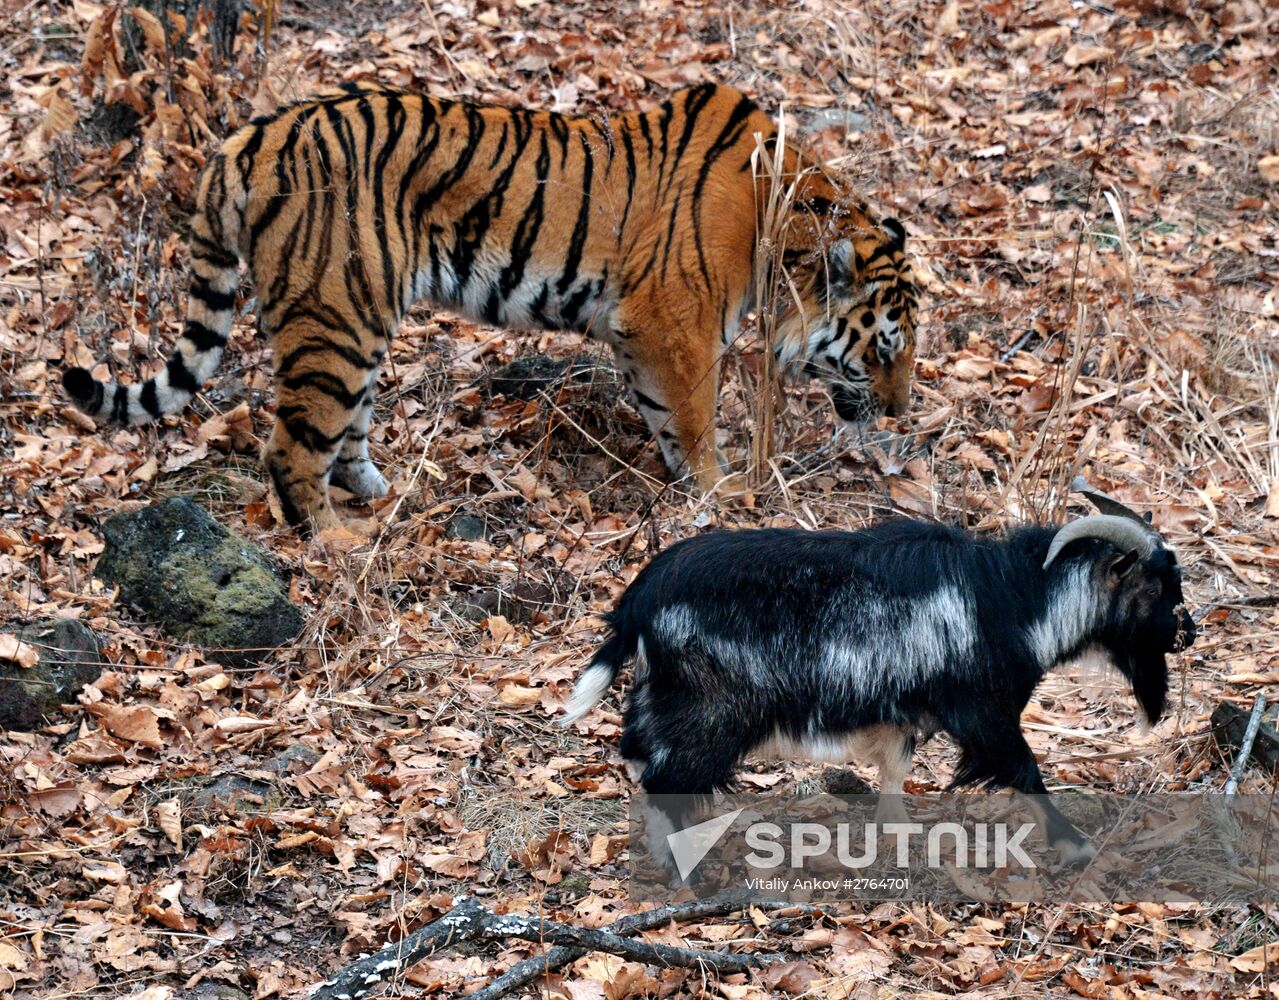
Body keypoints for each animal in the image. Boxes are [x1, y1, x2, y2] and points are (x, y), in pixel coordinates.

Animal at [64, 83, 915, 537]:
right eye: (884, 348)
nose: (898, 411)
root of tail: (245, 138)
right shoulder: (674, 319)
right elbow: (698, 415)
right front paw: (721, 490)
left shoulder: (638, 332)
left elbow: (665, 416)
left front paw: (686, 484)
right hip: (335, 314)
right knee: (292, 450)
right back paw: (337, 542)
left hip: (356, 318)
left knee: (342, 429)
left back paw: (377, 491)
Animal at [565, 485, 1192, 869]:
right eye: (1154, 585)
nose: (1188, 633)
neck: (1017, 598)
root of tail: (640, 598)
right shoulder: (983, 712)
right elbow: (1026, 772)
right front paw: (1077, 847)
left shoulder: (899, 714)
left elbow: (893, 777)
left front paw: (900, 841)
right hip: (710, 711)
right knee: (666, 779)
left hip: (663, 696)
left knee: (638, 755)